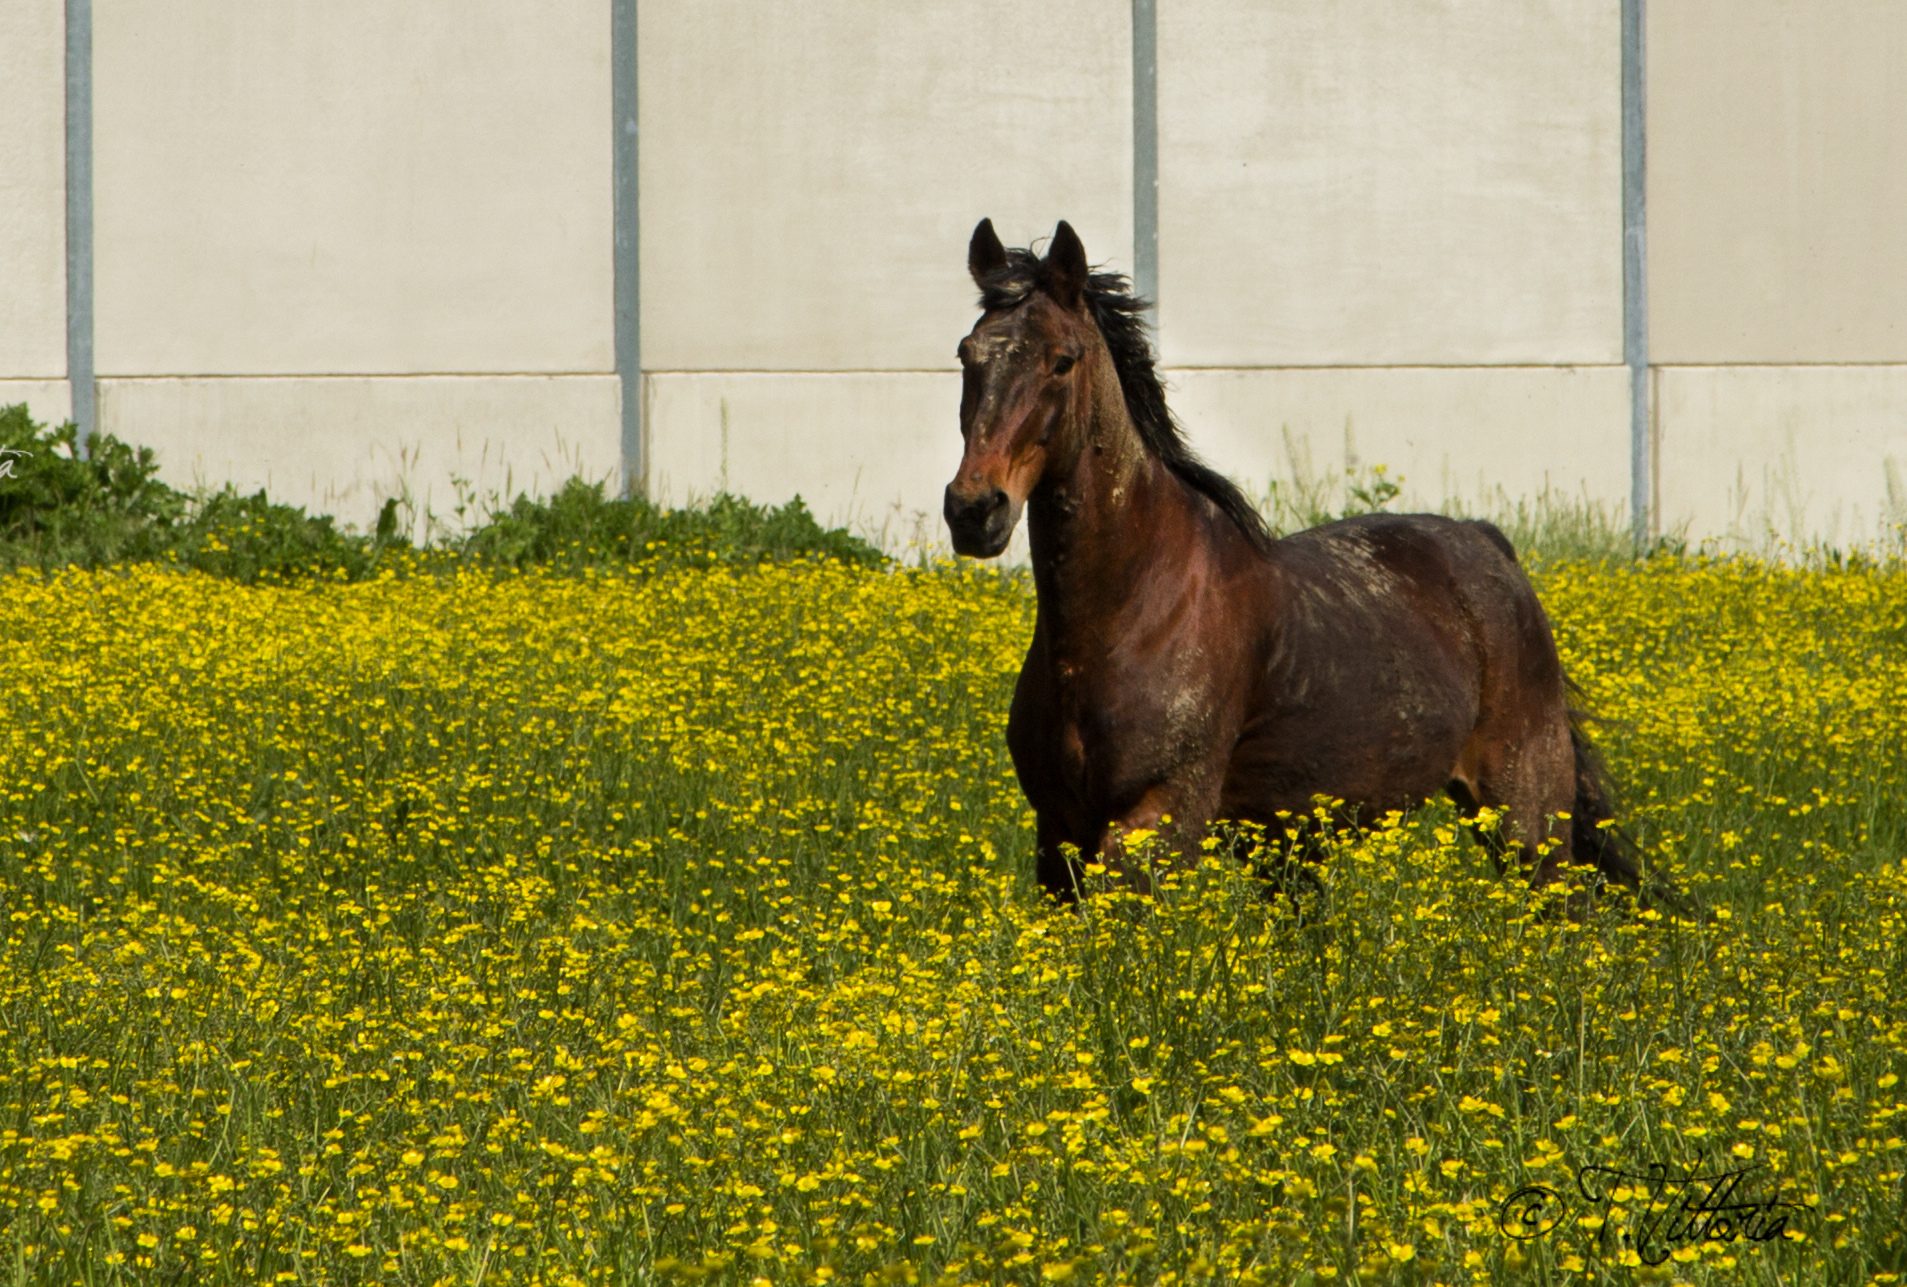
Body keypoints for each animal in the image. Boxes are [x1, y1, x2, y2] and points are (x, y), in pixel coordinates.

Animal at [943, 217, 1659, 907]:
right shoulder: (1059, 836)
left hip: (1526, 819)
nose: (974, 509)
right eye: (966, 354)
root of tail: (1490, 547)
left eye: (1062, 361)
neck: (1130, 608)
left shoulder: (1156, 823)